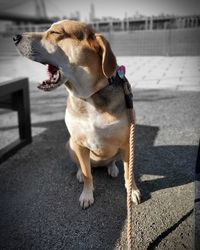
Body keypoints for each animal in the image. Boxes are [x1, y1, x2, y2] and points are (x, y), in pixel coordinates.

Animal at [13, 19, 141, 208]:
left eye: (56, 32)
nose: (15, 37)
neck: (89, 96)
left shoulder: (127, 143)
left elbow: (128, 173)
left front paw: (132, 191)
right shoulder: (79, 143)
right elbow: (88, 175)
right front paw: (87, 194)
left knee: (112, 161)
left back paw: (112, 167)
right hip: (70, 144)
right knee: (85, 167)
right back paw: (81, 172)